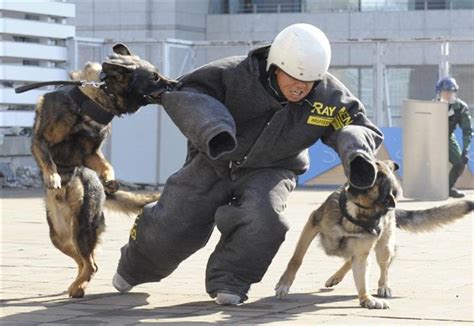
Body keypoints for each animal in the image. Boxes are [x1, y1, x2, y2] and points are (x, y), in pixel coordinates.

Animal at [32, 42, 176, 298]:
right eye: (155, 77)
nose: (177, 84)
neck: (97, 96)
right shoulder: (40, 140)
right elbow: (49, 160)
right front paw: (53, 176)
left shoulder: (91, 153)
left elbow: (106, 164)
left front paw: (110, 178)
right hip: (60, 235)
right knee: (83, 260)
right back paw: (78, 284)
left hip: (80, 225)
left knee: (91, 263)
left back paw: (78, 286)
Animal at [276, 162, 472, 310]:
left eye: (376, 177)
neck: (354, 213)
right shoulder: (312, 224)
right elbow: (296, 259)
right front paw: (284, 283)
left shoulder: (363, 252)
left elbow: (362, 278)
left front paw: (366, 298)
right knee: (349, 261)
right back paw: (335, 277)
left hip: (384, 248)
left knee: (381, 266)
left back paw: (383, 286)